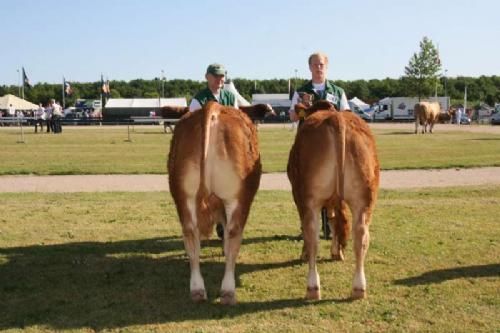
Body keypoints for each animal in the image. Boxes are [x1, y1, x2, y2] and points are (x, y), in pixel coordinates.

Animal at [168, 100, 272, 304]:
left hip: (184, 196)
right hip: (238, 198)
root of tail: (213, 107)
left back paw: (197, 290)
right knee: (233, 234)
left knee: (190, 235)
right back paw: (228, 291)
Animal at [288, 100, 380, 298]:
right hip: (365, 196)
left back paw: (312, 287)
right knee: (361, 235)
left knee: (311, 234)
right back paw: (359, 288)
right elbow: (336, 221)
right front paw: (337, 252)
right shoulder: (337, 200)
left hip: (308, 198)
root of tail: (336, 118)